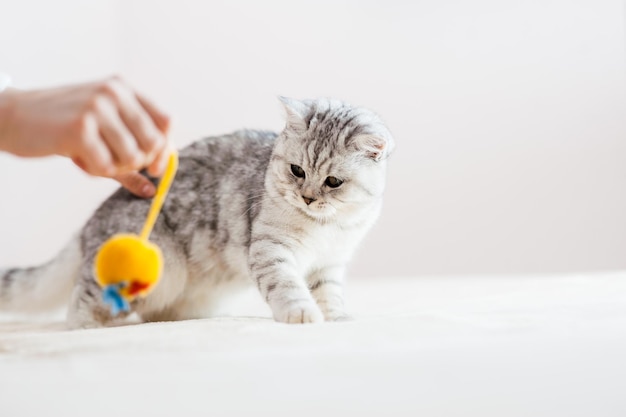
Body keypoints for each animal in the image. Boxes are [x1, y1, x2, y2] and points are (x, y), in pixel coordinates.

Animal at [0, 97, 390, 328]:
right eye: (297, 171)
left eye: (333, 181)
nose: (307, 198)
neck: (326, 227)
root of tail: (87, 226)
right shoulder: (271, 250)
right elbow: (288, 286)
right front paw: (303, 313)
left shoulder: (330, 263)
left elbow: (329, 293)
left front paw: (336, 317)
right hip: (144, 269)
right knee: (80, 302)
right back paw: (96, 325)